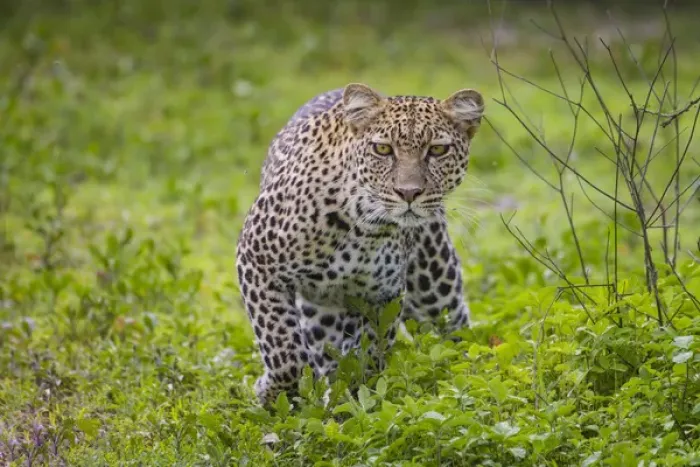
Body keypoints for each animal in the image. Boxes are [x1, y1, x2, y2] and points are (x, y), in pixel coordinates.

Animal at [235, 83, 485, 406]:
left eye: (438, 150)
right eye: (383, 149)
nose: (408, 193)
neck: (364, 226)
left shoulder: (381, 297)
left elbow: (367, 357)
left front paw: (351, 401)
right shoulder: (257, 261)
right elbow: (284, 351)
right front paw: (271, 392)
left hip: (435, 289)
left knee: (454, 330)